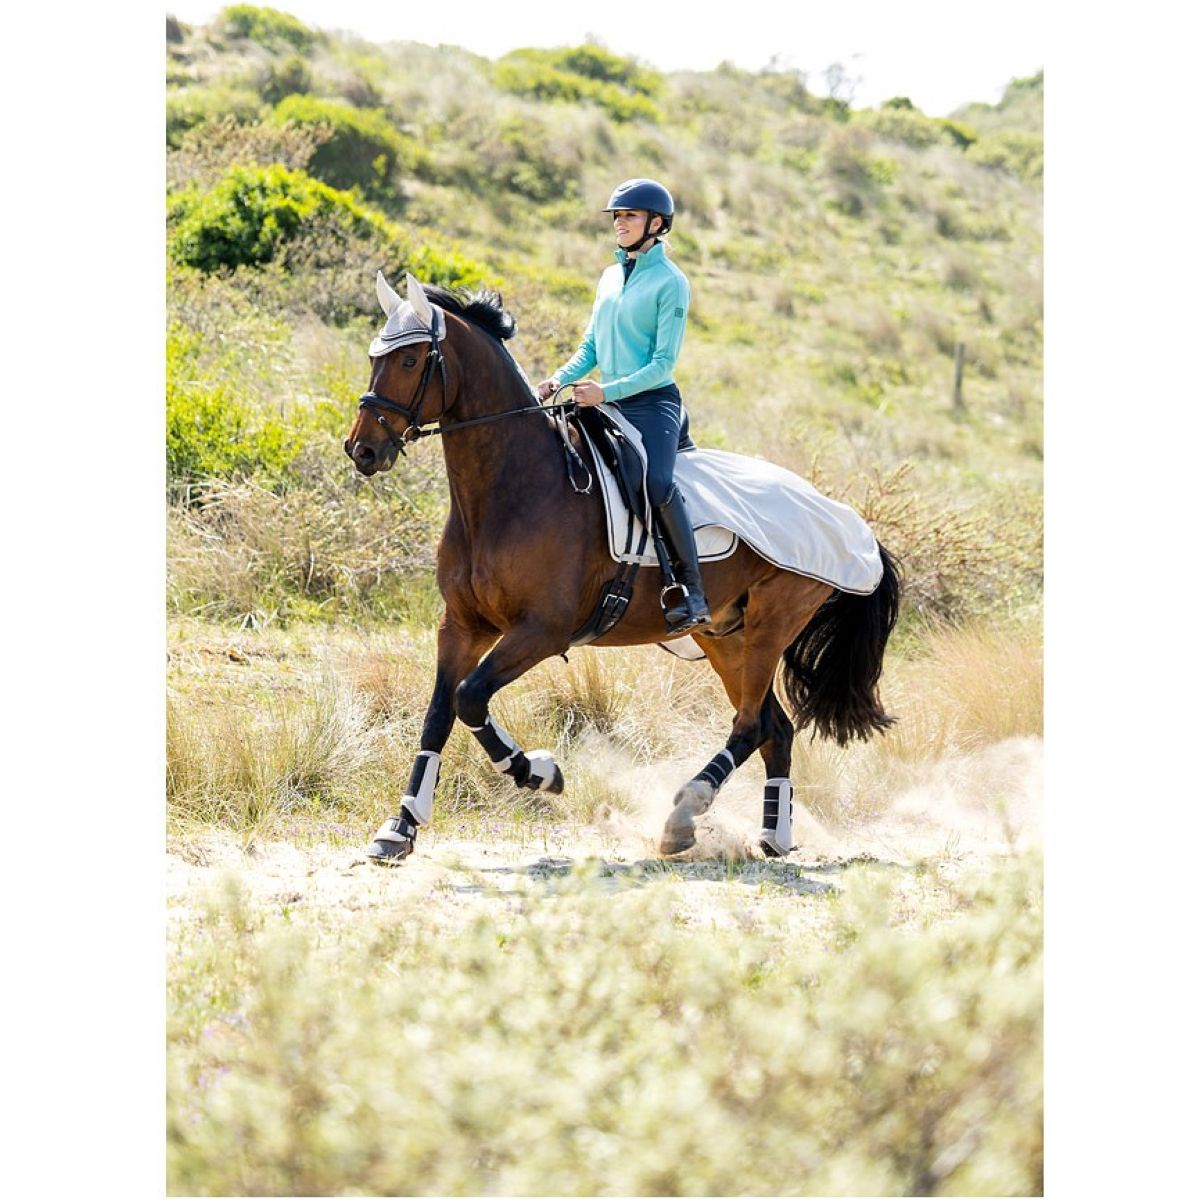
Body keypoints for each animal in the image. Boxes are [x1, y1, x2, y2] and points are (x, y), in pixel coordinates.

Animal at [343, 272, 897, 864]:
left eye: (409, 360)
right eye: (374, 357)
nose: (362, 450)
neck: (510, 490)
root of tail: (845, 518)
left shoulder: (541, 630)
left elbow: (470, 697)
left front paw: (540, 772)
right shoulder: (462, 626)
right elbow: (439, 715)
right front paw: (400, 827)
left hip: (771, 624)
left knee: (750, 725)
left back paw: (684, 816)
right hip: (727, 638)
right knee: (776, 727)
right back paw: (774, 835)